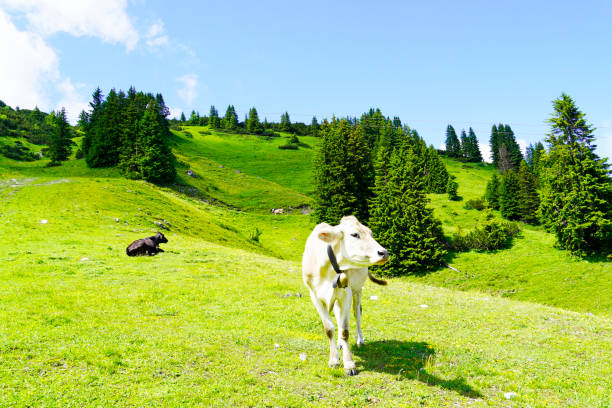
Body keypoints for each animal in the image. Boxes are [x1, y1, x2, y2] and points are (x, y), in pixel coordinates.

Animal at [302, 215, 388, 374]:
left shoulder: (346, 294)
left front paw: (349, 363)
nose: (384, 253)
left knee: (357, 313)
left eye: (371, 234)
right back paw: (340, 344)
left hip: (357, 290)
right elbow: (329, 329)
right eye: (354, 234)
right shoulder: (315, 296)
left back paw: (360, 340)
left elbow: (344, 330)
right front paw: (334, 359)